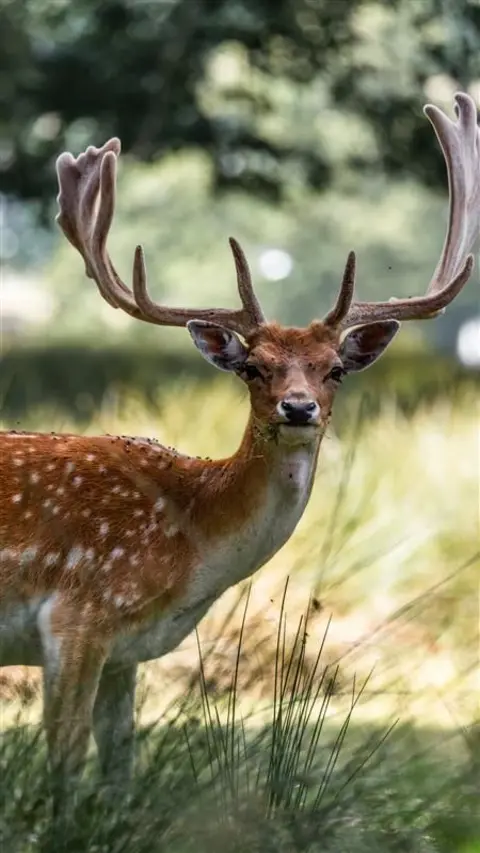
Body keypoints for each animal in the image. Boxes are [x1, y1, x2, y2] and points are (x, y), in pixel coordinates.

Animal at [0, 92, 478, 813]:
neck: (193, 544)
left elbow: (119, 767)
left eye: (336, 369)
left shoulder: (126, 651)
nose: (299, 407)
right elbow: (66, 757)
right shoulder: (77, 613)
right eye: (254, 368)